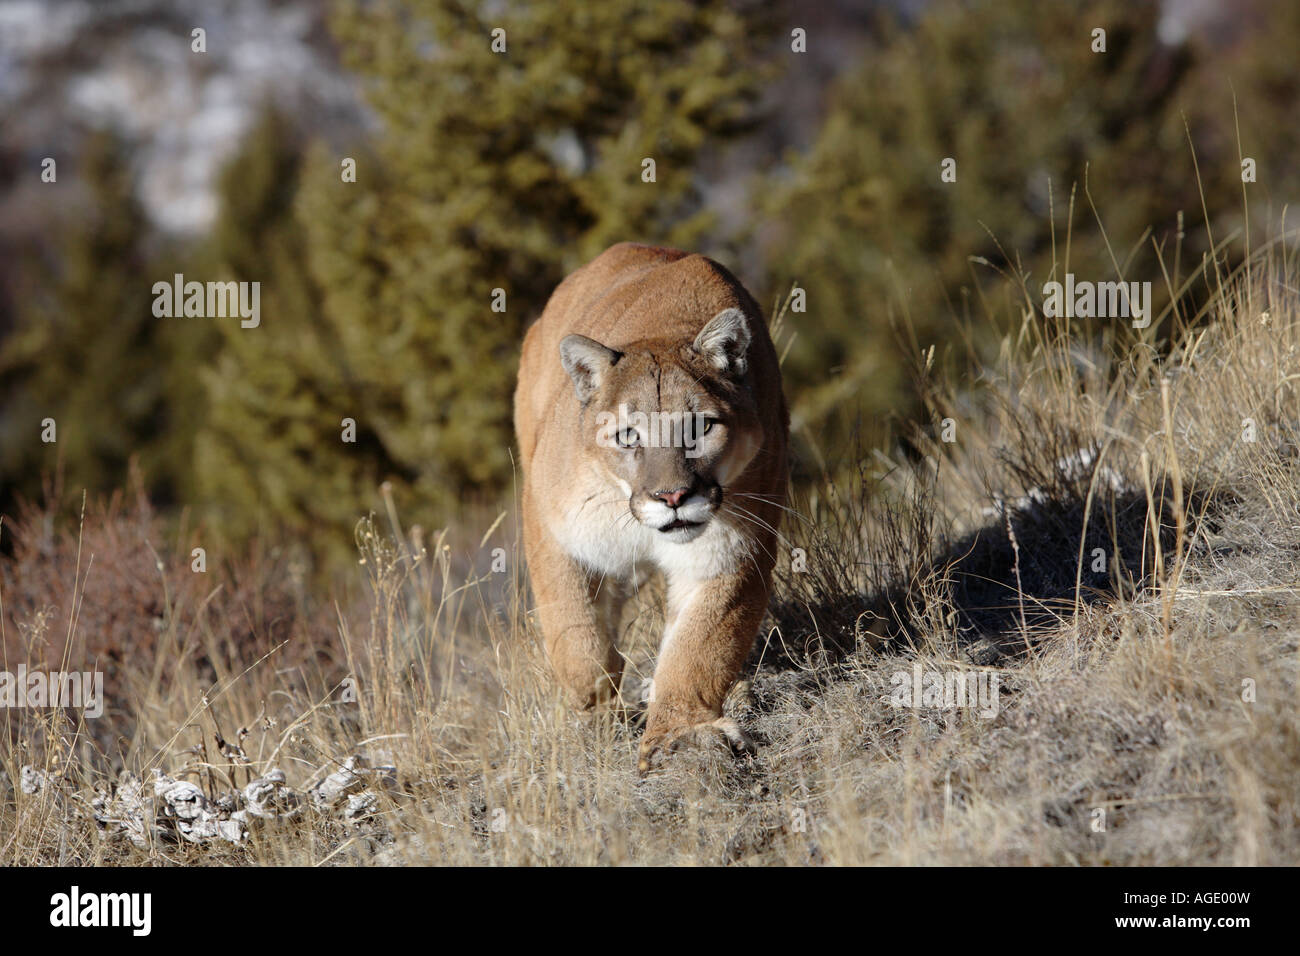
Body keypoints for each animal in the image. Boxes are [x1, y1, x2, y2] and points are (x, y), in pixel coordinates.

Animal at [514, 242, 789, 772]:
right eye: (628, 436)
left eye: (700, 427)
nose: (673, 497)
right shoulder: (549, 521)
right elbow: (575, 632)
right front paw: (600, 708)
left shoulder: (730, 549)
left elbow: (701, 644)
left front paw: (681, 736)